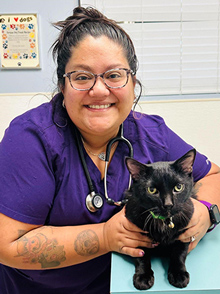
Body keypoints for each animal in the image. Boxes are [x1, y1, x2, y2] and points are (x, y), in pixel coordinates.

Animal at [124, 149, 197, 290]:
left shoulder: (184, 233)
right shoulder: (135, 234)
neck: (164, 221)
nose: (168, 204)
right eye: (152, 190)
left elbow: (179, 253)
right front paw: (143, 276)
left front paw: (179, 274)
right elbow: (141, 255)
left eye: (178, 187)